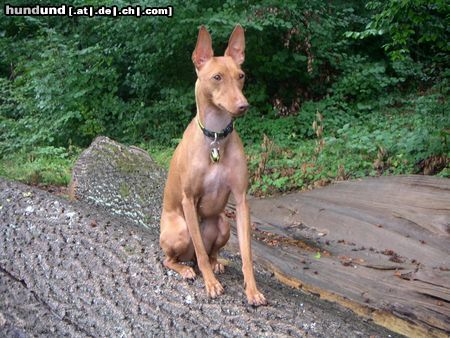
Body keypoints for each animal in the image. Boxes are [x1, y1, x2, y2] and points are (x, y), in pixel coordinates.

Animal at [161, 24, 268, 306]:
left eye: (241, 75)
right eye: (217, 77)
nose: (243, 105)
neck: (216, 137)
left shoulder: (241, 200)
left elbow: (246, 254)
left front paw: (252, 290)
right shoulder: (188, 199)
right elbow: (199, 250)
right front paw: (210, 284)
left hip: (223, 225)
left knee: (210, 253)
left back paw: (217, 262)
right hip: (180, 230)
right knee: (177, 257)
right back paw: (186, 269)